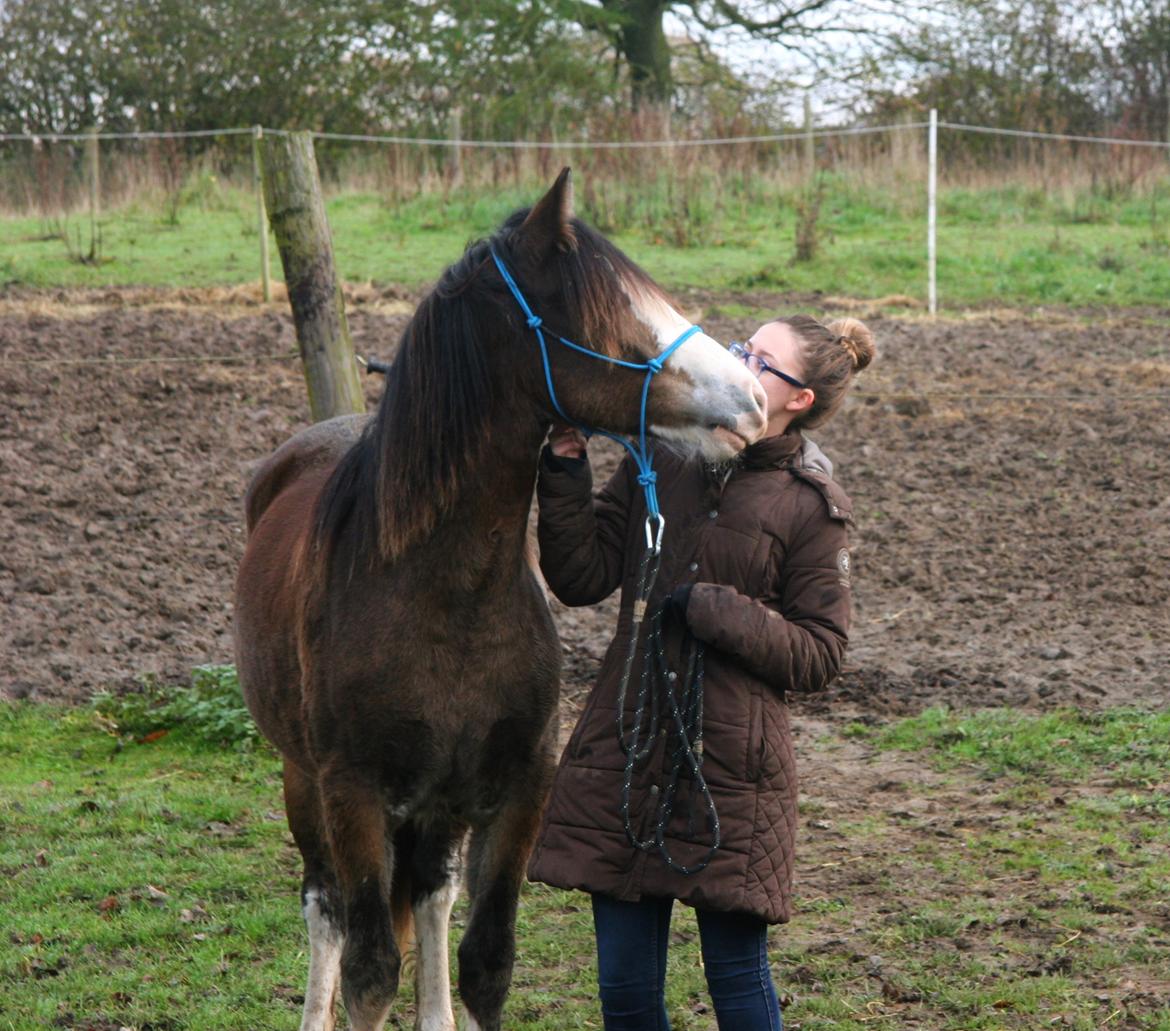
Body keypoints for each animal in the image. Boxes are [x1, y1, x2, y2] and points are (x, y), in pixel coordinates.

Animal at [232, 170, 772, 1029]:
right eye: (612, 315)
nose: (753, 397)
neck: (449, 597)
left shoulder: (518, 791)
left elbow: (486, 961)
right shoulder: (352, 794)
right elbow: (369, 971)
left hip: (438, 805)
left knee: (428, 895)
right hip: (303, 778)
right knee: (327, 912)